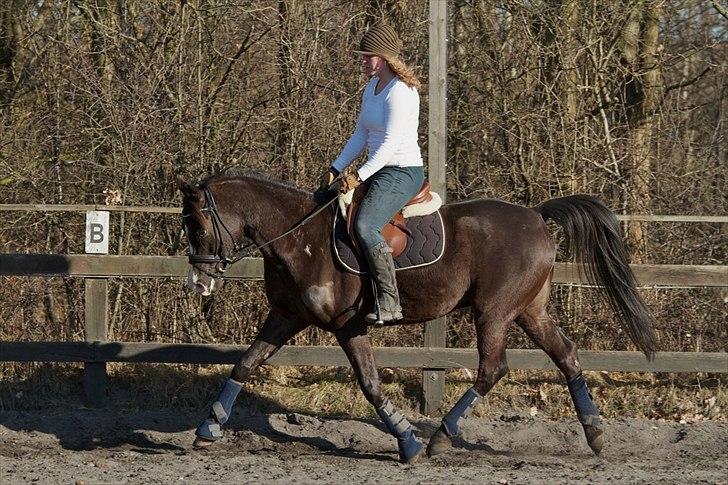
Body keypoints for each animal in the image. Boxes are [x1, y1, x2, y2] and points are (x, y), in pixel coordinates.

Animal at [179, 169, 656, 462]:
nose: (198, 284)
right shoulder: (286, 316)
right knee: (567, 356)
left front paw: (407, 441)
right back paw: (594, 433)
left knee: (492, 368)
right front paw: (207, 428)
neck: (300, 237)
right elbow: (244, 364)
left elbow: (370, 384)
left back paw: (440, 438)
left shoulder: (347, 325)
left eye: (198, 226)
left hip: (495, 311)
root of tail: (536, 216)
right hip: (529, 311)